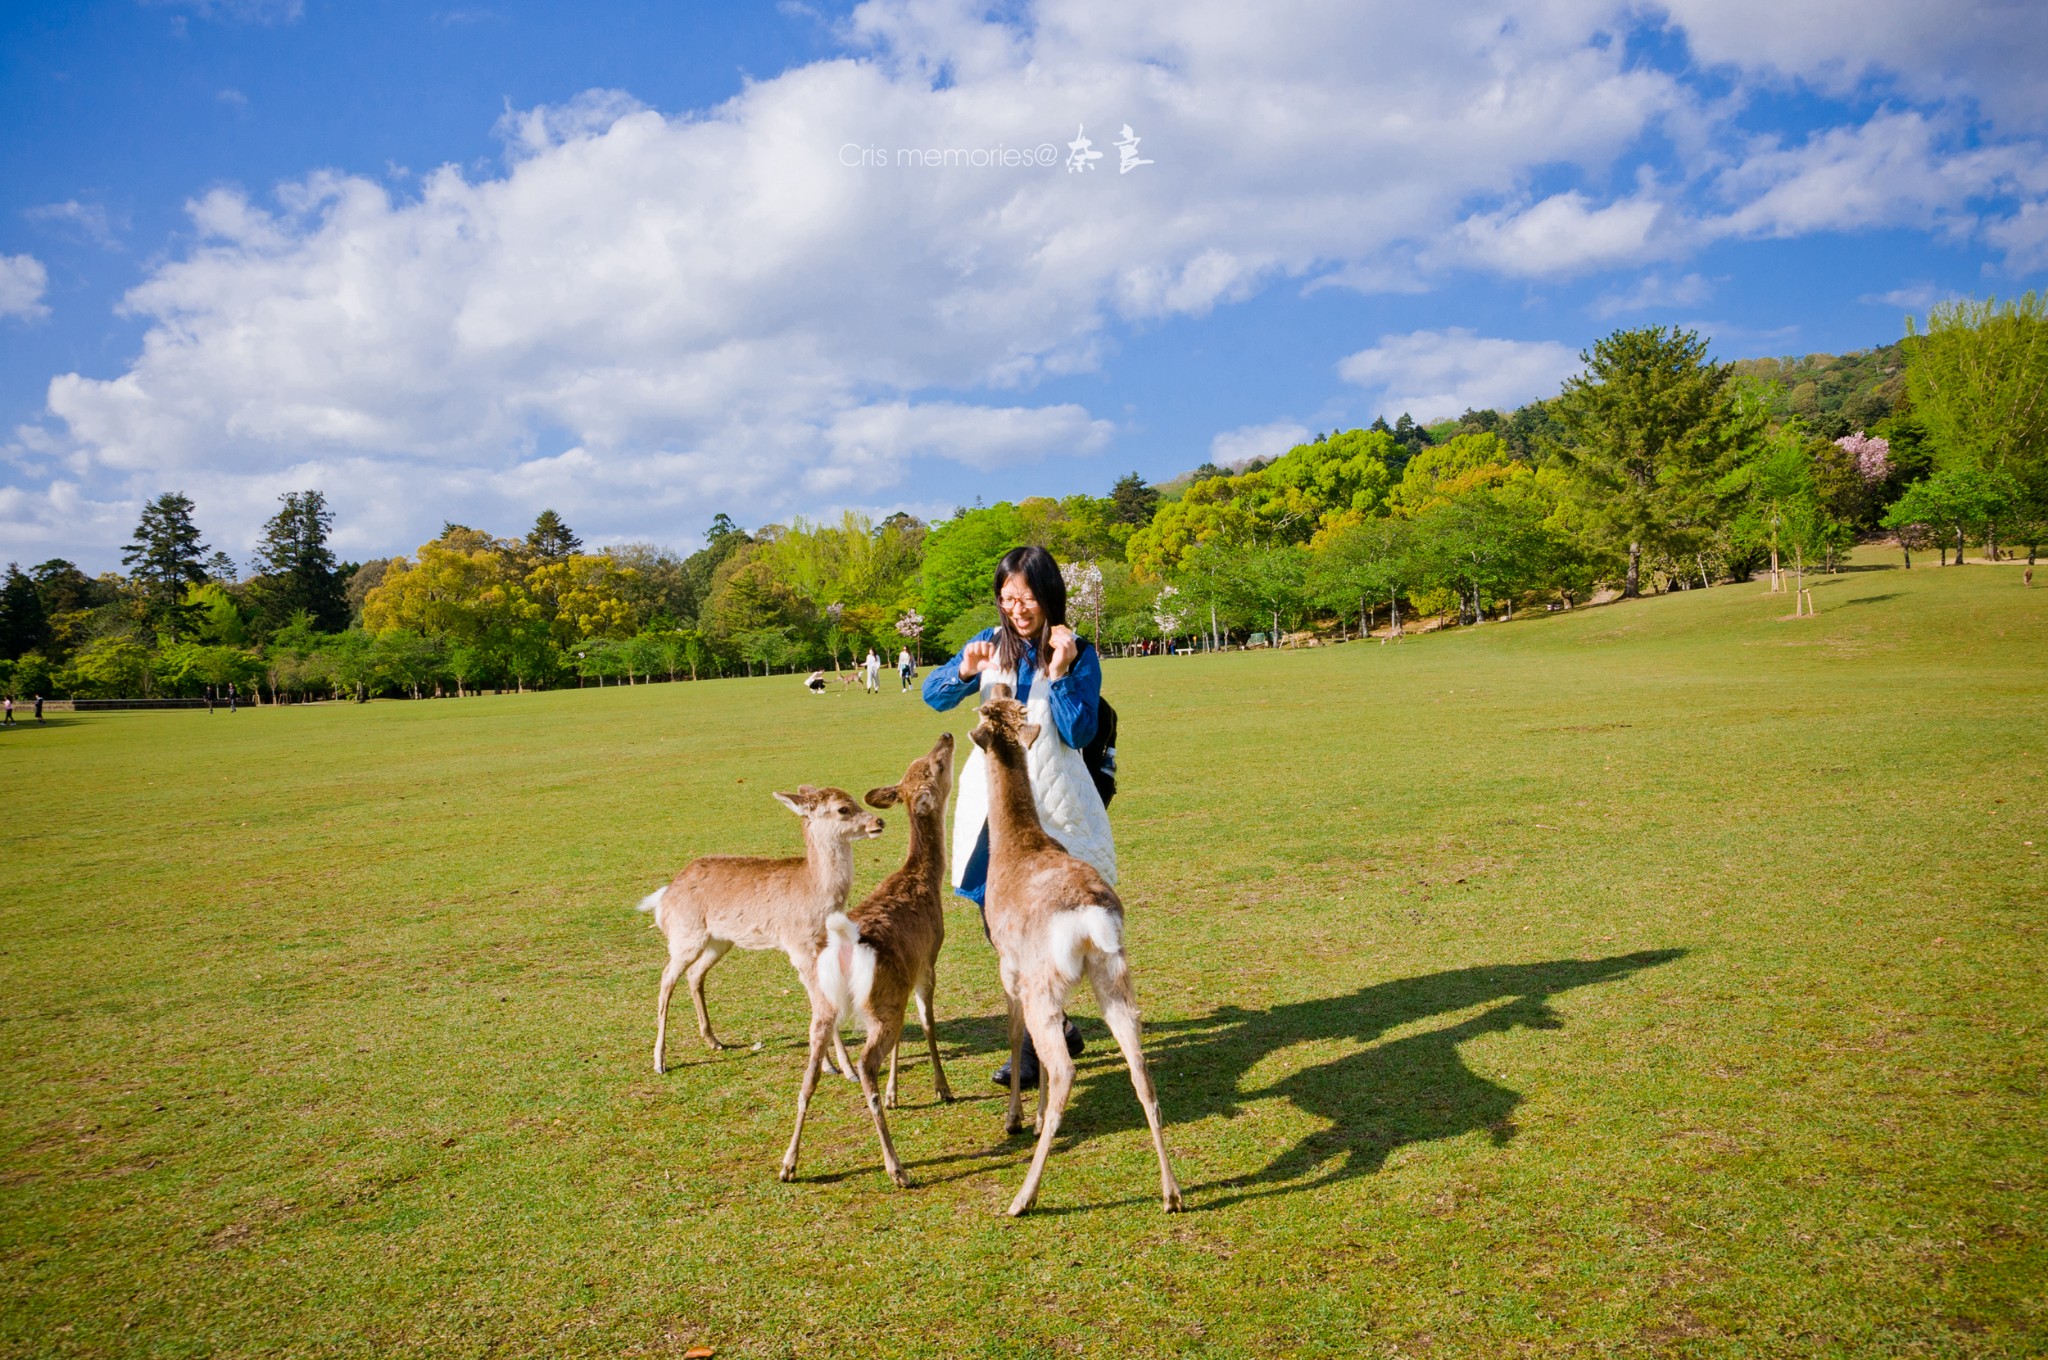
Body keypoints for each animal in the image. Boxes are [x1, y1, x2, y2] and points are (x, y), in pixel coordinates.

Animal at [638, 782, 880, 1081]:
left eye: (855, 800)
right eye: (843, 809)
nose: (878, 822)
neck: (815, 892)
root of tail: (663, 898)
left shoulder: (817, 947)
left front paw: (829, 1064)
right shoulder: (798, 945)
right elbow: (822, 1001)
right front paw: (846, 1070)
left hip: (719, 941)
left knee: (695, 974)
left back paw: (714, 1041)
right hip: (685, 936)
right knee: (666, 979)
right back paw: (660, 1061)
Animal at [778, 733, 954, 1187]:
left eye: (923, 761)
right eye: (936, 766)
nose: (945, 736)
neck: (922, 880)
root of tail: (843, 945)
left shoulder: (903, 982)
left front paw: (896, 1095)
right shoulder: (928, 960)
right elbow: (928, 1022)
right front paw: (941, 1088)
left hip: (825, 1006)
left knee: (808, 1077)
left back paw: (788, 1164)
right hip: (878, 1002)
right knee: (864, 1065)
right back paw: (897, 1167)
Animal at [970, 684, 1187, 1212]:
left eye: (988, 712)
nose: (999, 687)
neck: (1017, 845)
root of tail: (1090, 920)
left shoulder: (1009, 966)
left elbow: (1014, 1036)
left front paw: (1016, 1119)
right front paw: (1033, 1113)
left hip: (1045, 983)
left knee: (1065, 1067)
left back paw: (1022, 1198)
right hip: (1114, 974)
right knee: (1141, 1069)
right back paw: (1171, 1193)